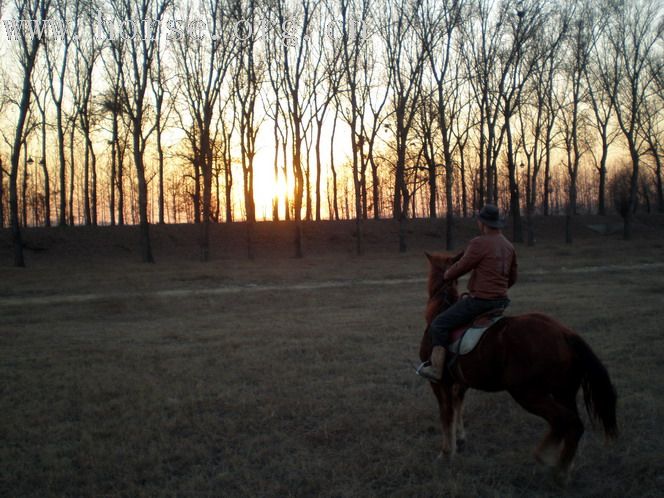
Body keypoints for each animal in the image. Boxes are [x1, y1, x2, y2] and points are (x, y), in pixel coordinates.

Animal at [420, 253, 616, 482]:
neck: (440, 310)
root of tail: (565, 334)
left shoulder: (439, 382)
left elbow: (446, 414)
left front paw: (445, 454)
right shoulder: (460, 383)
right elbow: (458, 407)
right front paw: (459, 441)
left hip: (527, 393)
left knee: (567, 422)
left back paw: (552, 465)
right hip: (563, 392)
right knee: (570, 424)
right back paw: (560, 464)